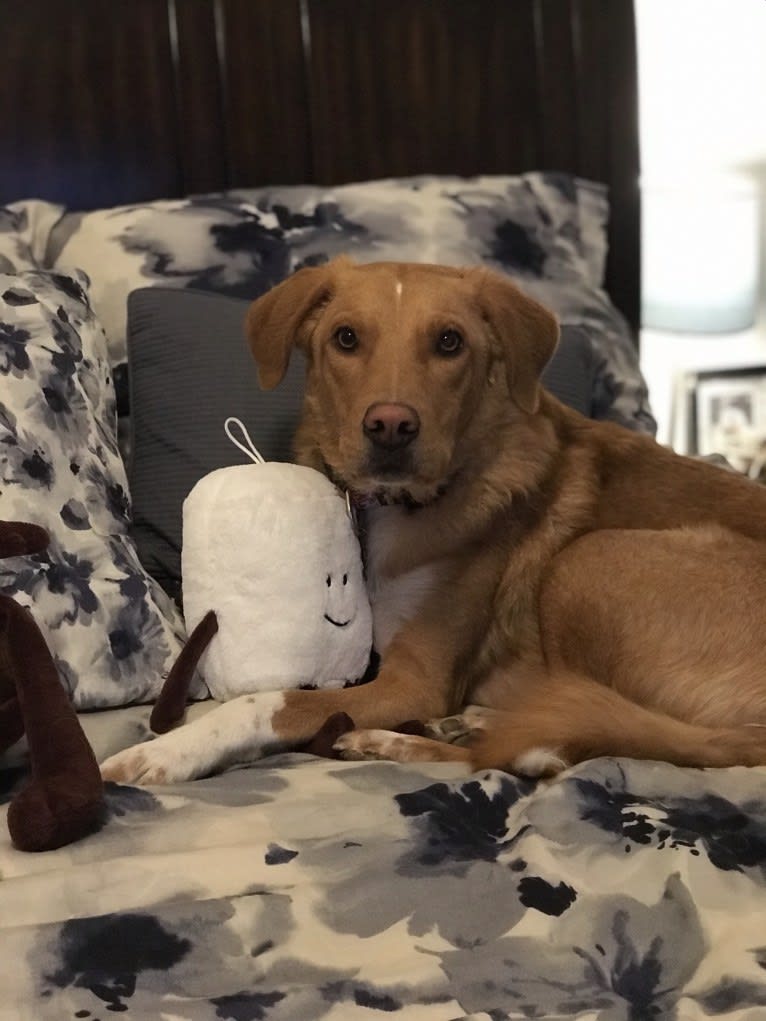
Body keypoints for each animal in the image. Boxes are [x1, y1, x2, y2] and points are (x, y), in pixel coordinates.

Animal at [99, 259, 766, 784]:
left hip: (589, 560)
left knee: (591, 741)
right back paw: (465, 725)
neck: (394, 508)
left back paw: (411, 740)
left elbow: (263, 702)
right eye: (346, 338)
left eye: (449, 342)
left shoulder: (413, 682)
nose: (391, 426)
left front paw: (169, 750)